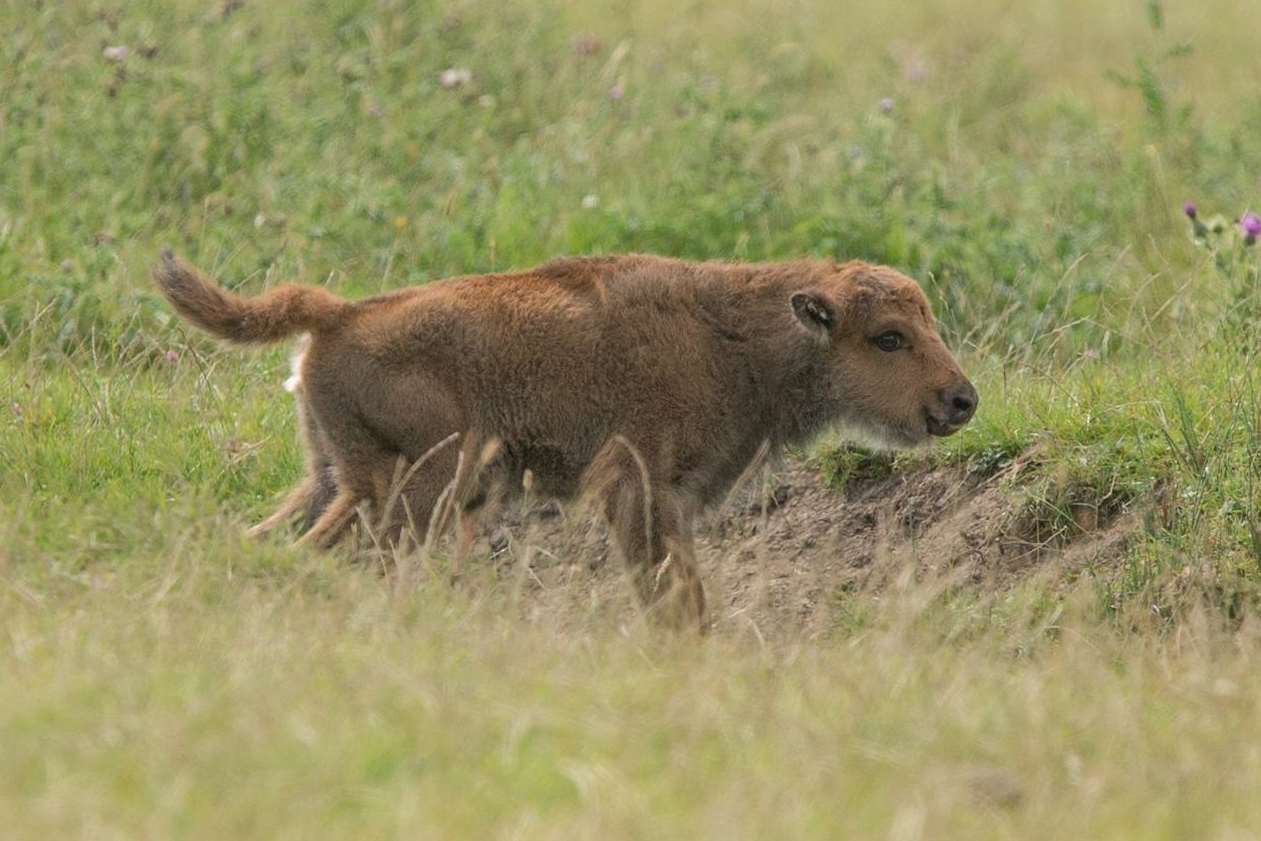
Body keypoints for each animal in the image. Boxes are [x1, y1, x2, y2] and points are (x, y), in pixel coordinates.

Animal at [155, 253, 973, 627]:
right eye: (889, 336)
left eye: (928, 321)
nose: (961, 399)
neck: (736, 337)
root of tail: (337, 312)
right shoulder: (639, 489)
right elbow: (674, 595)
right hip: (415, 487)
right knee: (328, 554)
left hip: (331, 475)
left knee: (264, 540)